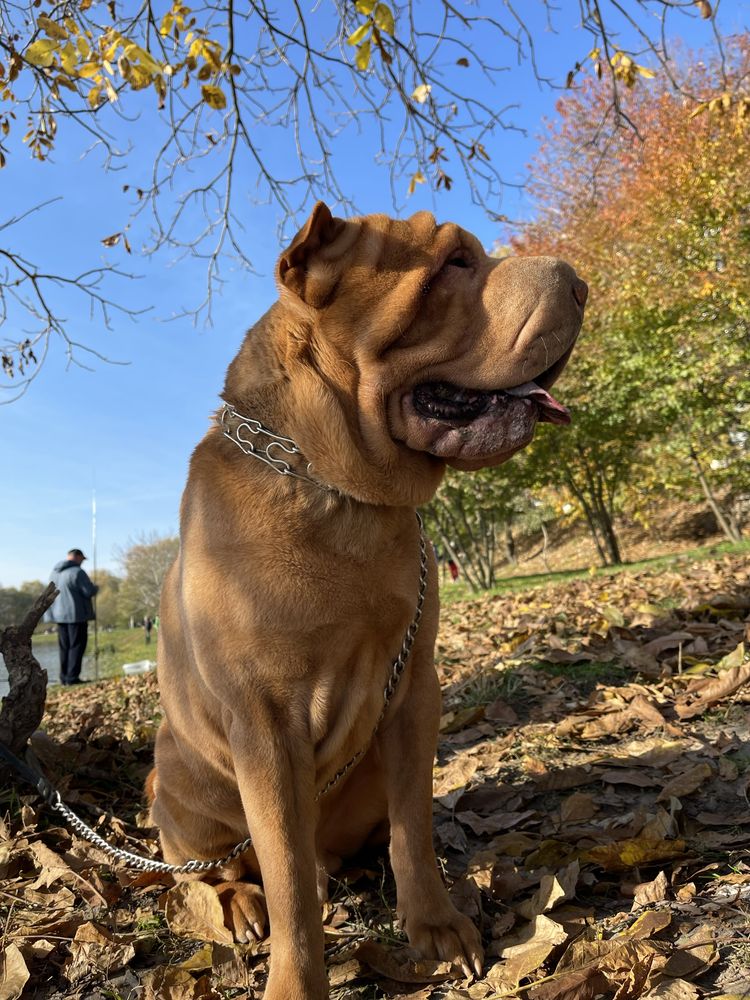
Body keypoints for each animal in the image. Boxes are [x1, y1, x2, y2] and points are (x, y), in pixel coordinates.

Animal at [150, 205, 592, 1000]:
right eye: (453, 264)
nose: (579, 282)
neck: (339, 491)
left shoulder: (414, 688)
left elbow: (412, 826)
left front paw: (437, 926)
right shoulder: (264, 724)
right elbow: (289, 882)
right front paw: (295, 981)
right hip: (178, 782)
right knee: (209, 874)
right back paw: (241, 908)